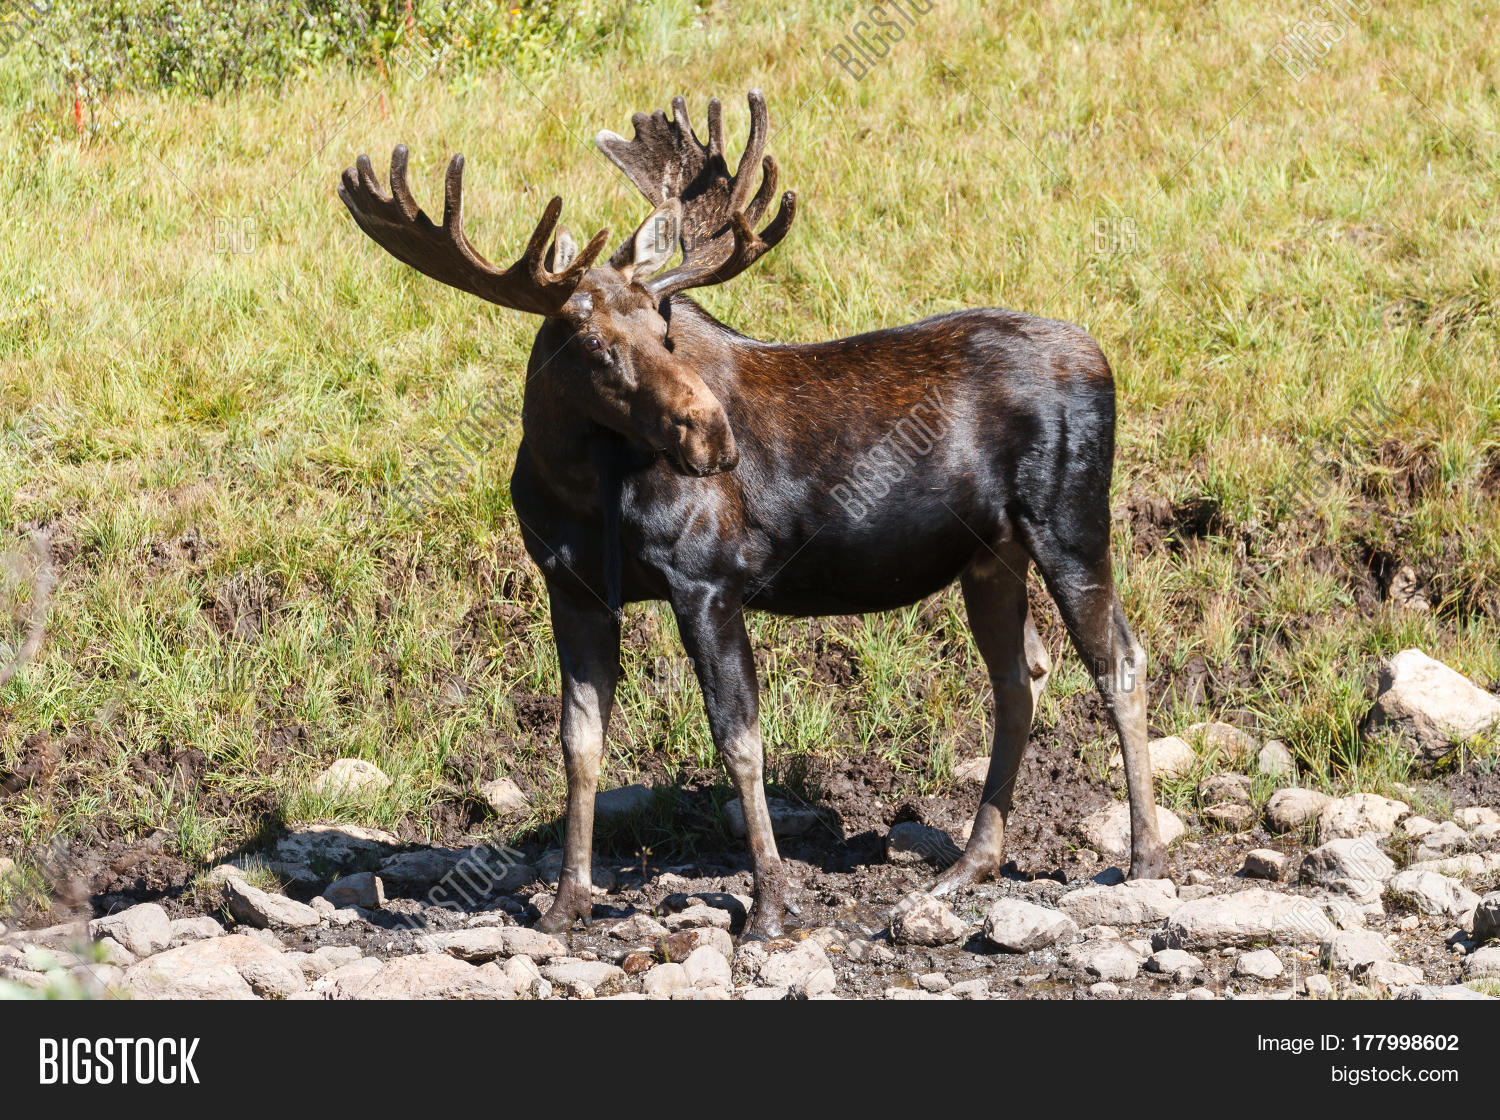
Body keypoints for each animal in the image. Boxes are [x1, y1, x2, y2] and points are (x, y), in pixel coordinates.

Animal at [338, 91, 1166, 940]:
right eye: (594, 342)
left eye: (666, 327)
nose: (713, 434)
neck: (574, 488)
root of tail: (1105, 360)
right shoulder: (572, 589)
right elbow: (579, 742)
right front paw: (566, 904)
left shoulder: (708, 579)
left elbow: (739, 738)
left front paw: (770, 904)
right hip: (989, 555)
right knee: (1019, 677)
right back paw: (971, 863)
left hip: (1069, 520)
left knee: (1119, 661)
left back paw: (1143, 858)